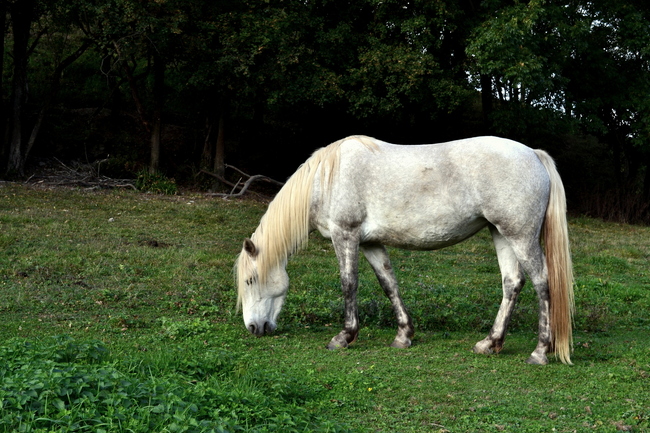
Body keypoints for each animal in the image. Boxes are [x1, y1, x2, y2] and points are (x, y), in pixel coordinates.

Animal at [234, 135, 572, 364]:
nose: (253, 328)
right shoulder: (370, 242)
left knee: (542, 283)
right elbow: (389, 283)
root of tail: (533, 155)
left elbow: (348, 284)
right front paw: (403, 336)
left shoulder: (345, 236)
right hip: (501, 233)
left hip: (520, 236)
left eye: (250, 281)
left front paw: (344, 337)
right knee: (512, 283)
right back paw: (490, 343)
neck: (325, 179)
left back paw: (540, 351)